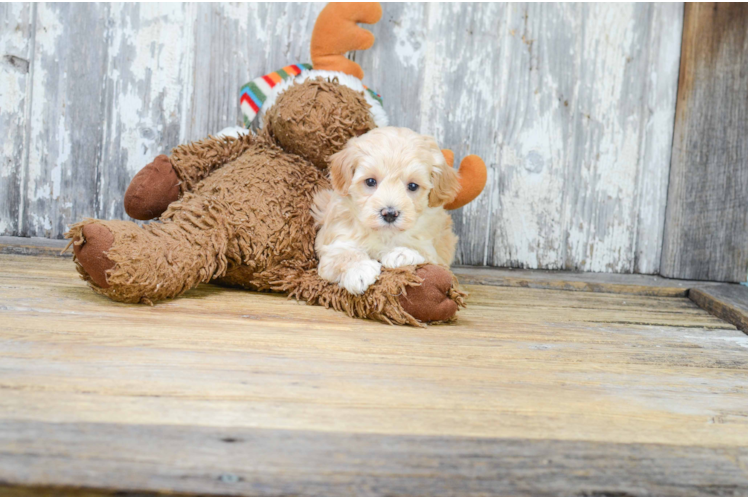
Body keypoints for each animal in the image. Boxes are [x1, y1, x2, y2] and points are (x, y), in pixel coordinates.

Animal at [312, 127, 462, 294]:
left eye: (413, 186)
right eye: (370, 181)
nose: (389, 214)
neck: (384, 233)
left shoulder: (435, 251)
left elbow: (424, 252)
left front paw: (402, 253)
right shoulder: (336, 239)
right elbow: (342, 254)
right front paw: (359, 269)